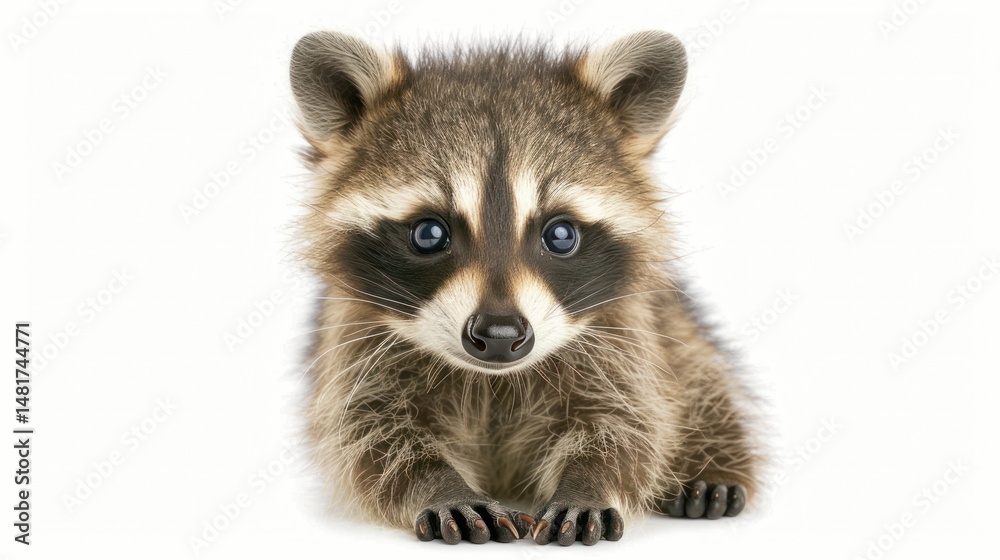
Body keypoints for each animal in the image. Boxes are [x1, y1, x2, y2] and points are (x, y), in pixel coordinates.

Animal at [290, 30, 763, 545]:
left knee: (697, 369)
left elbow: (629, 420)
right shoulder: (352, 337)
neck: (493, 380)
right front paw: (437, 484)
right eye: (429, 234)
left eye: (561, 235)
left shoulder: (624, 330)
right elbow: (368, 431)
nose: (499, 334)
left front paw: (589, 481)